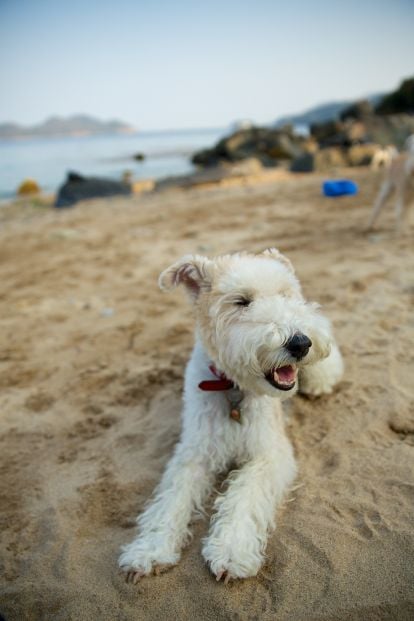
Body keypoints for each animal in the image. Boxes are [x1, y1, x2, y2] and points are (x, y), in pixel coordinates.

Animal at [119, 247, 342, 580]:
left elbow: (244, 495)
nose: (300, 343)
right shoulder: (194, 453)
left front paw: (231, 551)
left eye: (285, 294)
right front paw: (150, 550)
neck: (233, 388)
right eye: (241, 302)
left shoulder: (268, 454)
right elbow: (171, 499)